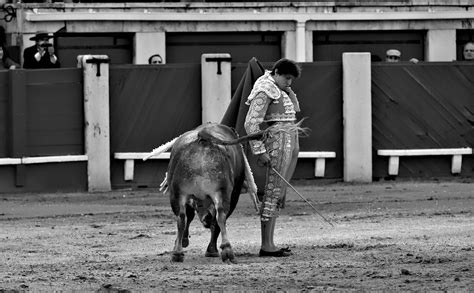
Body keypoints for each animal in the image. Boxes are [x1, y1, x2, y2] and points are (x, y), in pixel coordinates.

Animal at [146, 122, 262, 264]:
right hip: (222, 192)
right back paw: (226, 250)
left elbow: (191, 217)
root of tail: (202, 140)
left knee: (182, 217)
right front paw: (211, 250)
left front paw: (184, 242)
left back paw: (178, 253)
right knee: (220, 215)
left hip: (178, 193)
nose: (206, 218)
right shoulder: (233, 194)